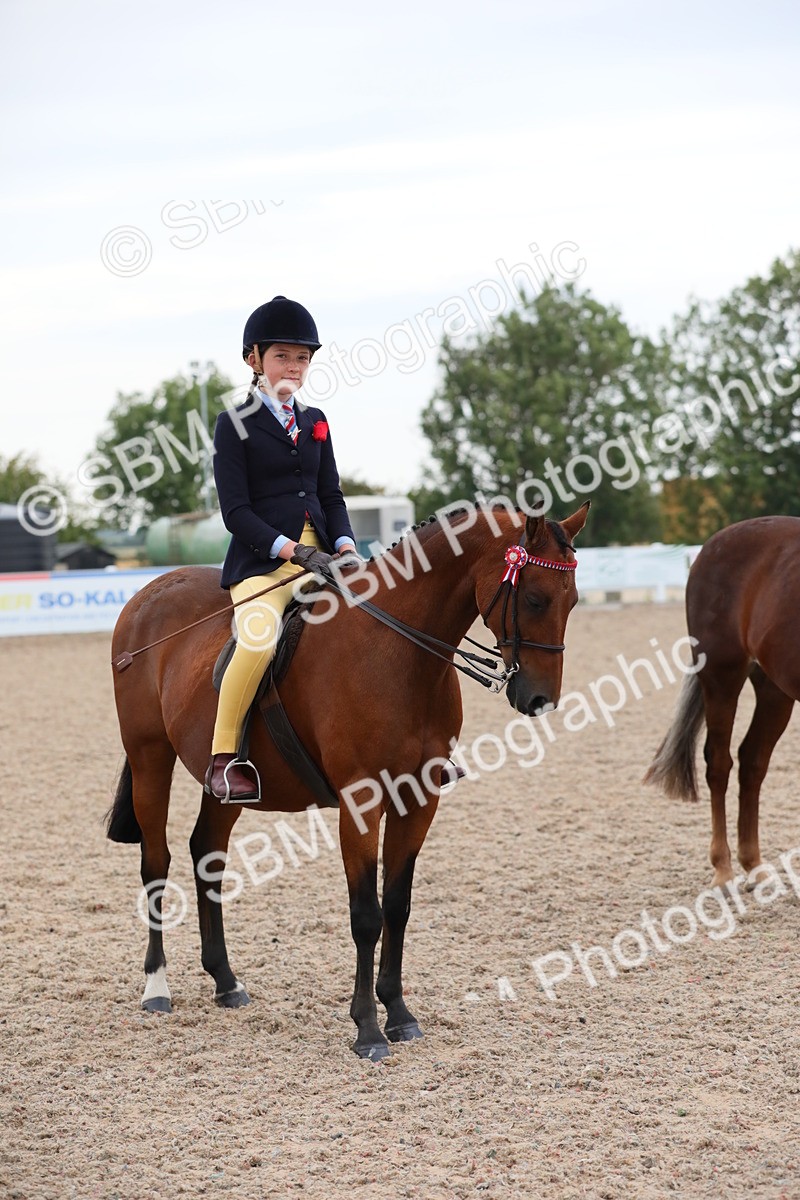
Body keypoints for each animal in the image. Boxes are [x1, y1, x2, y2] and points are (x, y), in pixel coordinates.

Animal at [106, 502, 588, 1059]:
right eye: (533, 598)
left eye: (572, 601)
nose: (540, 700)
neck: (399, 653)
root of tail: (151, 591)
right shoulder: (361, 802)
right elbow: (366, 916)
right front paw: (368, 1031)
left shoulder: (418, 799)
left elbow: (397, 906)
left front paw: (399, 1013)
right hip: (149, 758)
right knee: (155, 862)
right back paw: (156, 987)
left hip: (226, 785)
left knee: (207, 853)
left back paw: (226, 982)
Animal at [645, 516, 800, 889]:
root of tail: (713, 544)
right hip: (721, 676)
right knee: (719, 763)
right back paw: (723, 869)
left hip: (775, 690)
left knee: (753, 761)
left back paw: (754, 866)